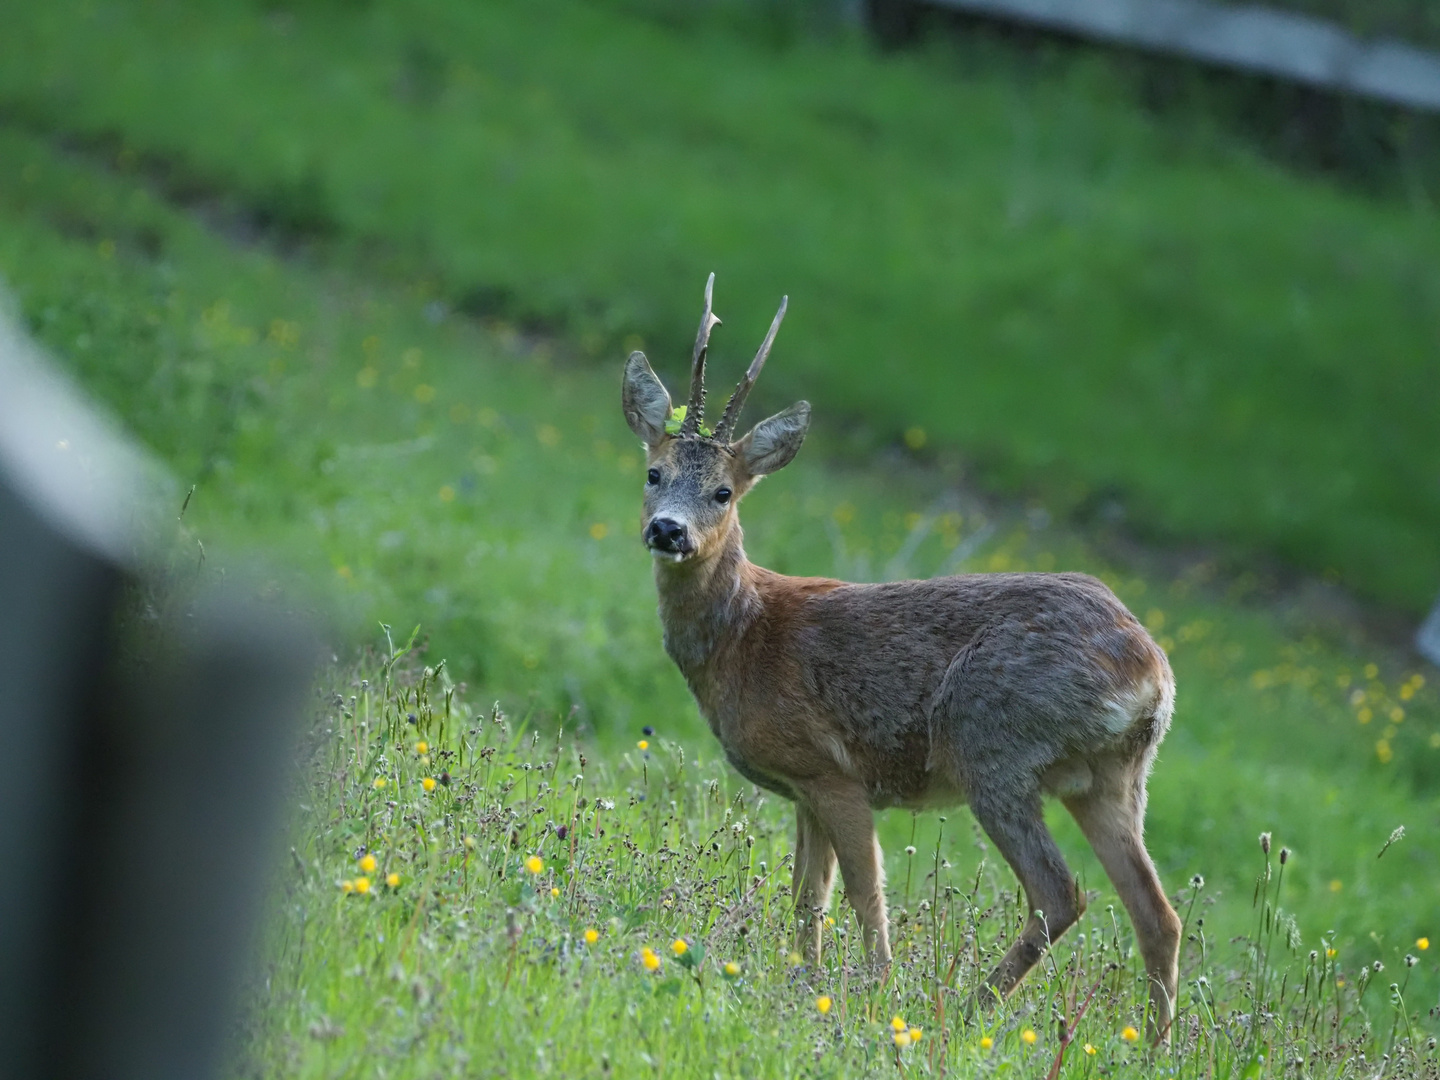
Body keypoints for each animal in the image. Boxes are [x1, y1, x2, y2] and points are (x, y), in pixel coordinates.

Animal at [622, 276, 1180, 1042]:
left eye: (723, 491)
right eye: (653, 472)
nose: (668, 530)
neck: (747, 638)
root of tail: (1151, 671)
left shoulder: (833, 772)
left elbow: (863, 893)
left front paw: (871, 991)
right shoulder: (803, 788)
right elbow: (808, 896)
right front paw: (805, 983)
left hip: (994, 744)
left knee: (1061, 893)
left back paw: (968, 1014)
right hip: (1113, 777)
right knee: (1157, 912)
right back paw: (1152, 1047)